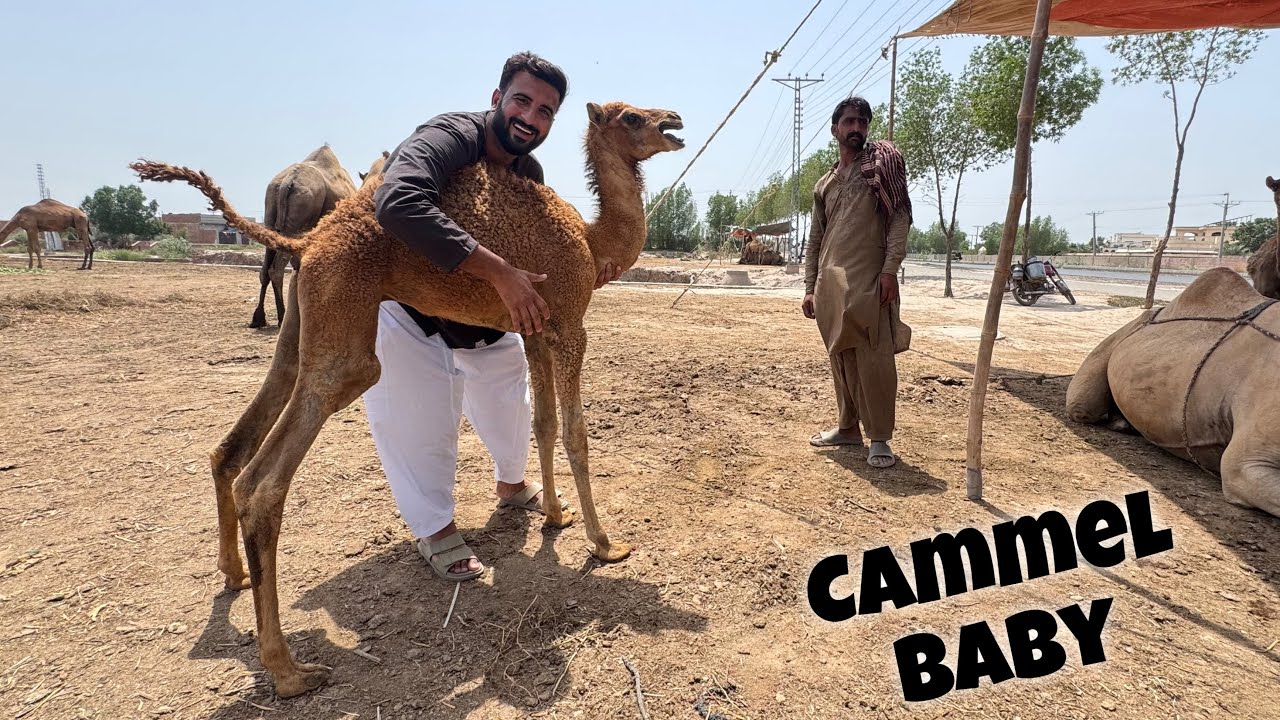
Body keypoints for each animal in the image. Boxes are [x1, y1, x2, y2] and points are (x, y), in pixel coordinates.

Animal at [250, 146, 385, 328]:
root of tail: (287, 183)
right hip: (296, 218)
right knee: (276, 268)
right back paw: (281, 317)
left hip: (271, 214)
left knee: (265, 268)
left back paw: (259, 318)